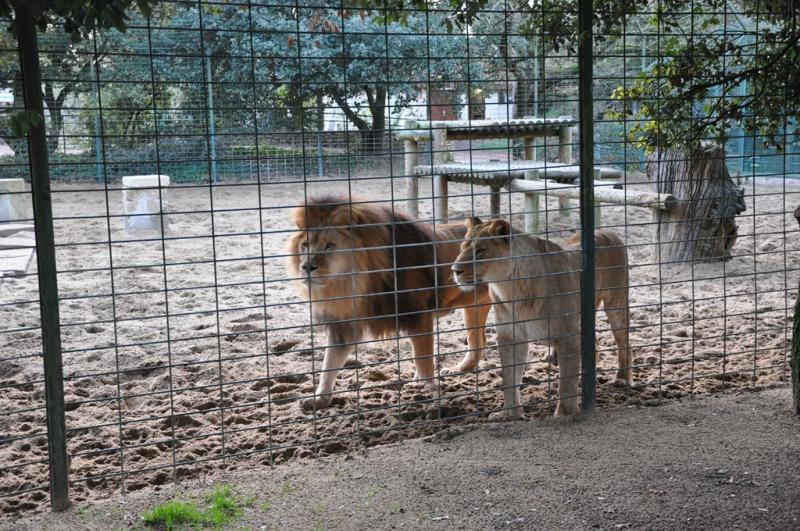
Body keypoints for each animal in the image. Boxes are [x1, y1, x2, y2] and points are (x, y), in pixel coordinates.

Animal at [287, 195, 492, 410]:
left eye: (329, 246)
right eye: (305, 245)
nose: (306, 267)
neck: (355, 283)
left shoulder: (418, 316)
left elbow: (422, 357)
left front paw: (426, 388)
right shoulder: (345, 324)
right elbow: (329, 363)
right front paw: (320, 398)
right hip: (474, 308)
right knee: (477, 345)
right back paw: (459, 369)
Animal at [451, 218, 631, 419]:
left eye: (481, 250)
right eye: (462, 248)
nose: (455, 270)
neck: (510, 286)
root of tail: (606, 231)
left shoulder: (568, 335)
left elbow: (566, 381)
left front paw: (565, 413)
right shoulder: (511, 337)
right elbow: (509, 378)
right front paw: (510, 413)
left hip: (616, 306)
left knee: (625, 342)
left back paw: (622, 379)